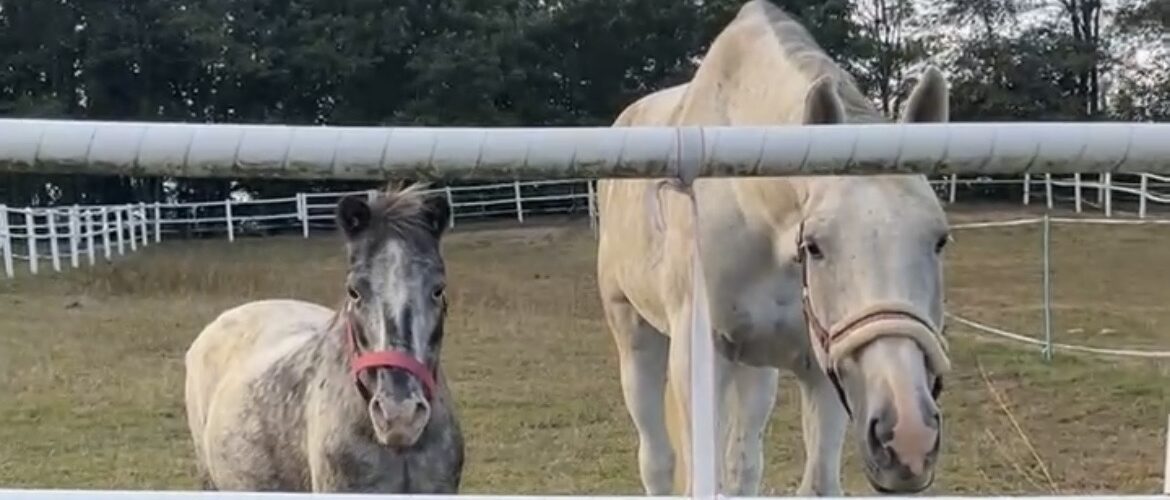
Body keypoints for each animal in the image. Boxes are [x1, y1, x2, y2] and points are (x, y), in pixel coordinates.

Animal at [596, 1, 952, 496]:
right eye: (815, 246)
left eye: (940, 239)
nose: (909, 438)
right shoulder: (700, 360)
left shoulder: (823, 366)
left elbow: (814, 482)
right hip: (634, 336)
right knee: (658, 461)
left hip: (756, 368)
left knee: (743, 465)